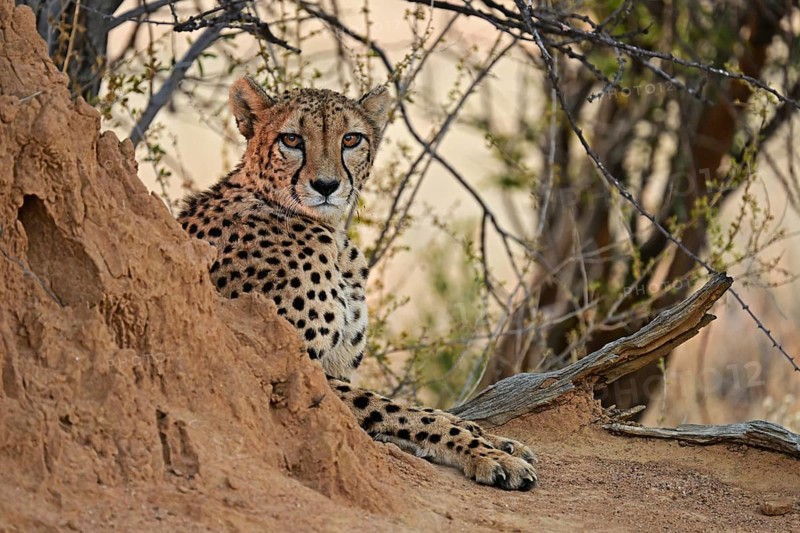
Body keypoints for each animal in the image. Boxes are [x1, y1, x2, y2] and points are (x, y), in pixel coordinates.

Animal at [177, 76, 538, 491]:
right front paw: (487, 453)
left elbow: (418, 411)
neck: (329, 233)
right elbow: (406, 411)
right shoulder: (299, 369)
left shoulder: (331, 370)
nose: (326, 185)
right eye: (291, 139)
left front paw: (497, 441)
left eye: (350, 139)